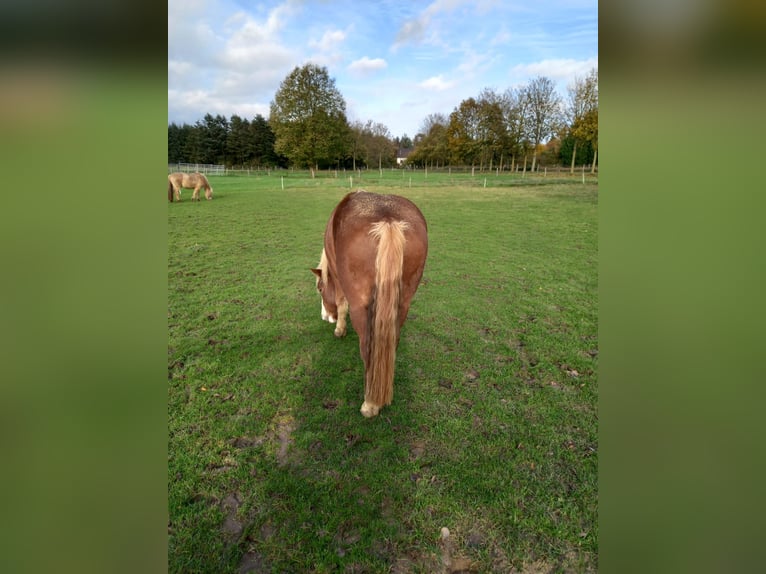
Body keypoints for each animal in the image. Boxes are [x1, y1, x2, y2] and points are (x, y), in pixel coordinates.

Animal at [314, 191, 432, 420]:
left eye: (320, 289)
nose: (325, 316)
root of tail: (388, 221)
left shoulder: (339, 280)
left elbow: (341, 303)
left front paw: (339, 329)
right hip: (402, 304)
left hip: (361, 308)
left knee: (367, 348)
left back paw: (370, 404)